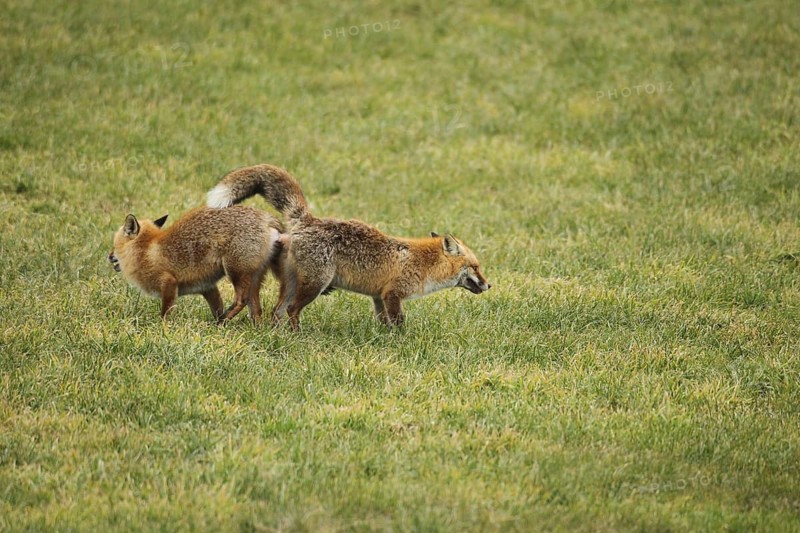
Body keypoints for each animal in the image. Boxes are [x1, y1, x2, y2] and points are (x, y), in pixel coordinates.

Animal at [108, 205, 283, 323]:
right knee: (256, 310)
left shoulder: (169, 282)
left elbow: (165, 313)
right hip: (254, 277)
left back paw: (222, 322)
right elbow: (217, 307)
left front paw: (162, 329)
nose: (109, 256)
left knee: (242, 300)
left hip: (236, 272)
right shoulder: (207, 287)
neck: (146, 251)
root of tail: (266, 217)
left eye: (114, 246)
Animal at [206, 164, 491, 329]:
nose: (489, 285)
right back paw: (296, 334)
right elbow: (399, 323)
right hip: (315, 285)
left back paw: (277, 335)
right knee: (291, 310)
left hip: (293, 283)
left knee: (278, 311)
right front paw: (403, 343)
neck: (423, 263)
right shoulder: (393, 294)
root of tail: (309, 220)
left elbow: (383, 323)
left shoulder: (379, 296)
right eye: (476, 267)